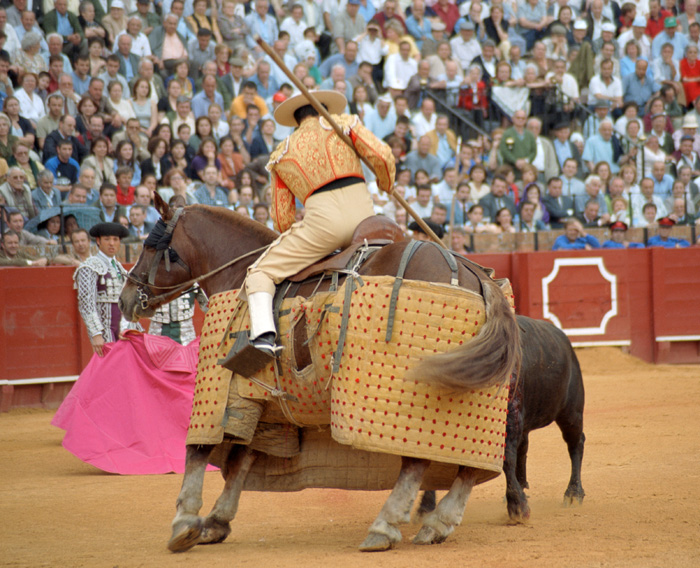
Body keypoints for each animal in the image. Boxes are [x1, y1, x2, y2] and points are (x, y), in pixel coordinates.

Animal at [119, 196, 520, 556]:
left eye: (148, 245)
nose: (125, 299)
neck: (239, 271)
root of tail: (473, 273)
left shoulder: (224, 391)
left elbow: (201, 450)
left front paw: (185, 524)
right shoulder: (264, 400)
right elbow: (246, 455)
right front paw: (216, 521)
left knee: (416, 459)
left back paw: (384, 526)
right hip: (476, 394)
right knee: (471, 460)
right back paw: (437, 524)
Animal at [418, 318, 588, 520]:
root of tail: (565, 342)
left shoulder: (510, 418)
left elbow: (507, 458)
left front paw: (518, 507)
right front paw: (426, 506)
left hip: (571, 412)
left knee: (575, 443)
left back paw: (573, 494)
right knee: (524, 448)